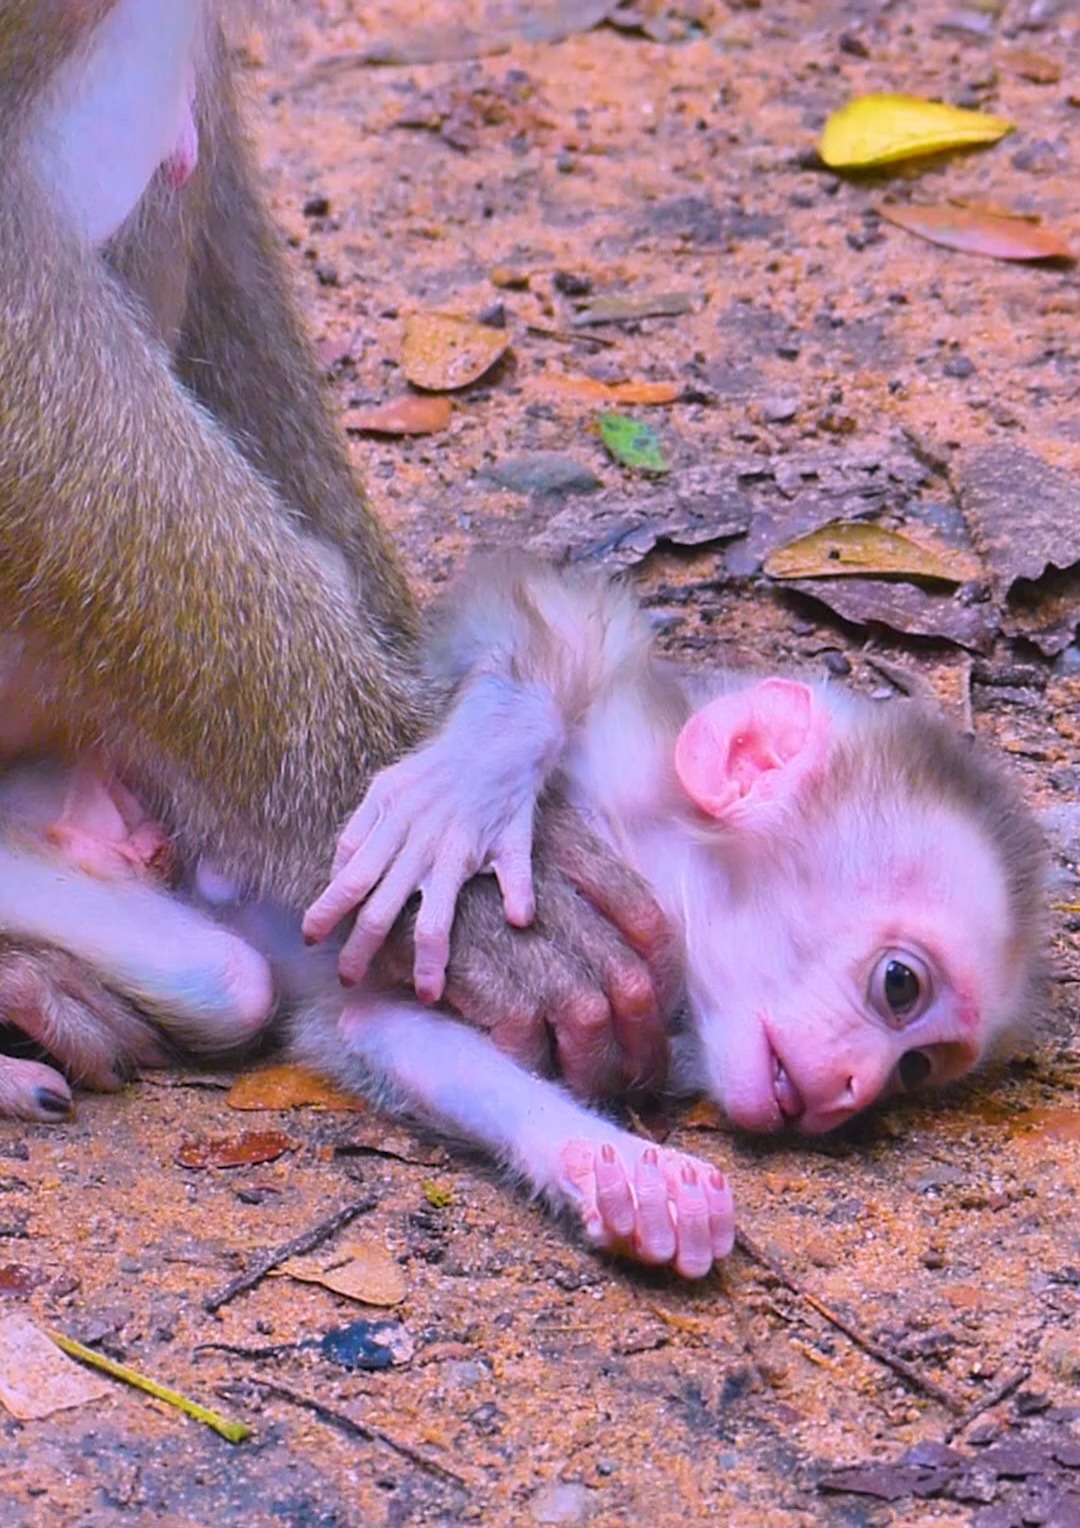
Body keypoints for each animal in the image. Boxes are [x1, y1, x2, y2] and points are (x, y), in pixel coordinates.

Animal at [0, 557, 1046, 1279]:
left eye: (915, 1070)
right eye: (900, 985)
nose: (851, 1093)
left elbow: (377, 1029)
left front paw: (628, 1175)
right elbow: (517, 622)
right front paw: (486, 760)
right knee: (226, 980)